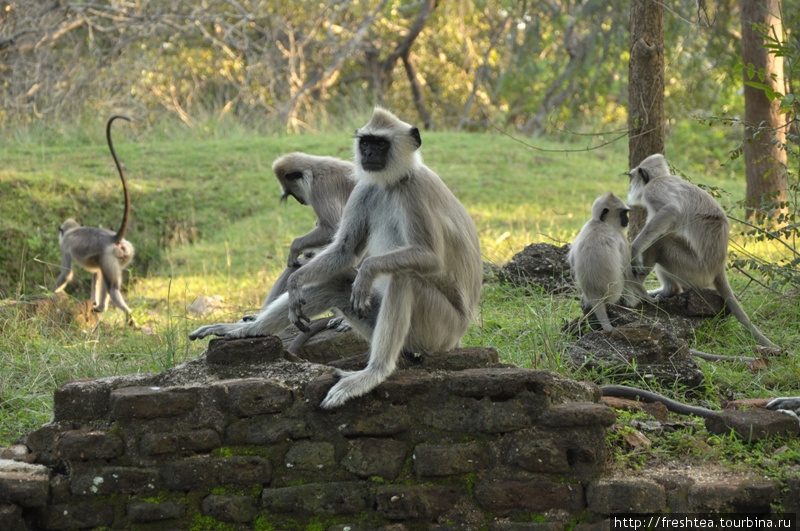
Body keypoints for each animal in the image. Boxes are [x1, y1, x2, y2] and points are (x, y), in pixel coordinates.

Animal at [239, 152, 354, 322]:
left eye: (293, 192)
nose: (300, 201)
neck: (315, 171)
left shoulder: (320, 188)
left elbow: (332, 228)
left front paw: (295, 246)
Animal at [564, 193, 648, 330]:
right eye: (623, 213)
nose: (627, 220)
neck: (600, 223)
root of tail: (594, 294)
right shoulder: (621, 238)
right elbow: (629, 275)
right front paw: (650, 298)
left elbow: (571, 259)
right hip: (614, 292)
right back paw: (632, 303)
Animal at [628, 154, 780, 352]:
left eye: (631, 177)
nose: (630, 187)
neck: (660, 178)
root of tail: (718, 267)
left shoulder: (653, 189)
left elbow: (670, 211)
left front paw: (634, 249)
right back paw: (668, 290)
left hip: (693, 269)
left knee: (661, 242)